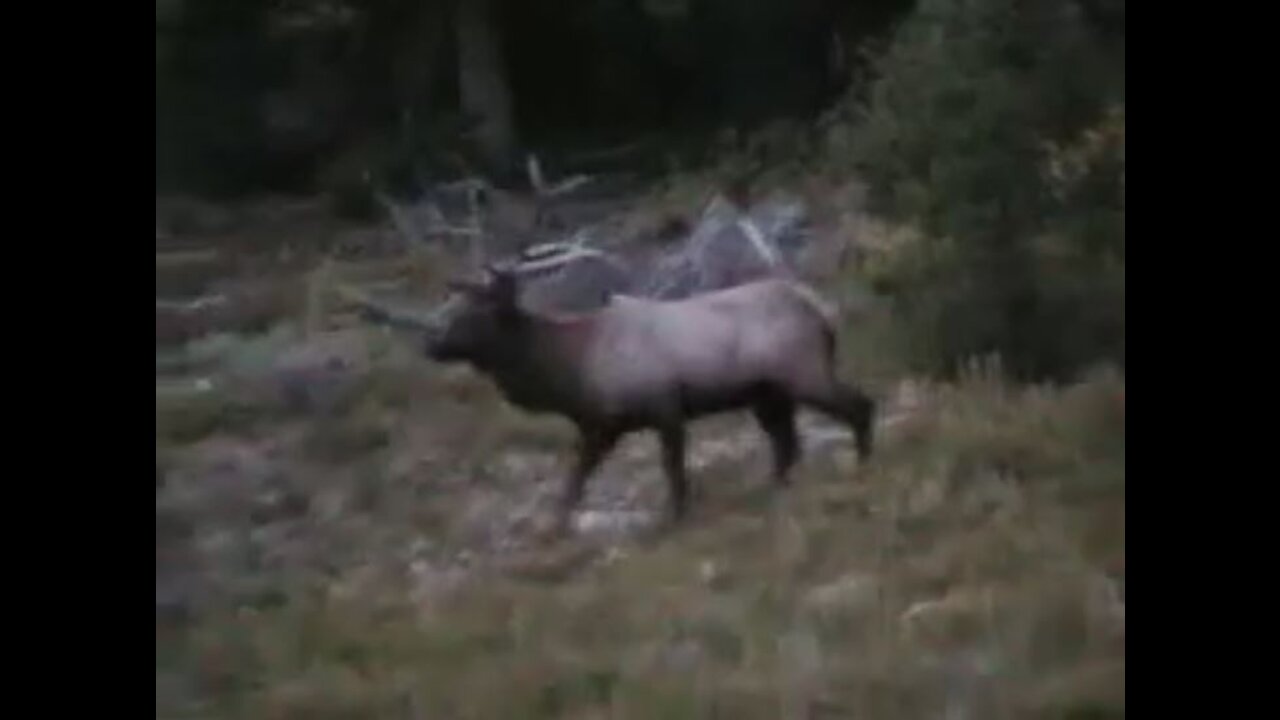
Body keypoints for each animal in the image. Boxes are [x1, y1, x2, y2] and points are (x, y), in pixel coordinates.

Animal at [345, 260, 875, 530]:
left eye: (472, 315)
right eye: (450, 307)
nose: (430, 341)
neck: (570, 374)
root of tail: (820, 309)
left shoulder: (663, 407)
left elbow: (673, 471)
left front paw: (675, 519)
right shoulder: (602, 425)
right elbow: (576, 478)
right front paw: (555, 527)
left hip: (802, 371)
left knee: (858, 405)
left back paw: (863, 466)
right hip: (767, 393)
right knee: (788, 443)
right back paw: (777, 488)